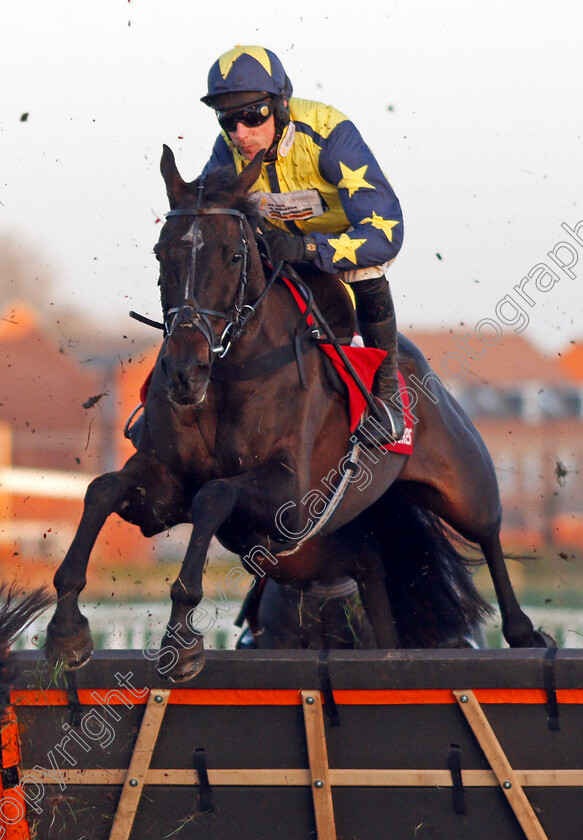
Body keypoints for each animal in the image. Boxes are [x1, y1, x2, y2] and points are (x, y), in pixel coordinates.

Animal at [44, 146, 548, 684]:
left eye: (235, 255)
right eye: (162, 253)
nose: (184, 371)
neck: (227, 376)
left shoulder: (292, 497)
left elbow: (214, 495)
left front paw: (181, 638)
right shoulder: (163, 489)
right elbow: (103, 491)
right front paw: (66, 631)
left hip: (463, 485)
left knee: (489, 534)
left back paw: (524, 634)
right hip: (324, 552)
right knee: (374, 578)